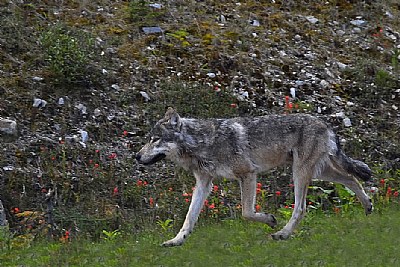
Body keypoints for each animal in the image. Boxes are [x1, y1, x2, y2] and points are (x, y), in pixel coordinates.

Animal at [135, 108, 372, 248]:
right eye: (149, 139)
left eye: (155, 139)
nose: (136, 156)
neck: (204, 143)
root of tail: (326, 124)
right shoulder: (203, 184)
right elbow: (189, 218)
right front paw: (176, 240)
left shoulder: (247, 174)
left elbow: (247, 213)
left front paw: (270, 220)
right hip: (317, 172)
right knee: (351, 178)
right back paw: (368, 206)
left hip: (301, 173)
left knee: (301, 207)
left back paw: (282, 234)